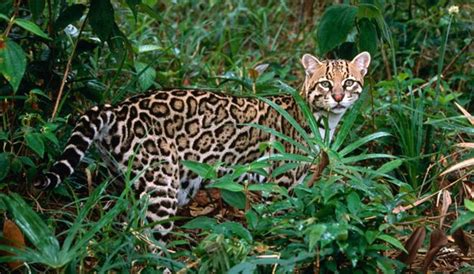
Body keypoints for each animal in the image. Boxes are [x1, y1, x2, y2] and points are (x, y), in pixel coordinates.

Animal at [36, 52, 370, 237]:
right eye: (325, 83)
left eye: (348, 82)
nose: (338, 97)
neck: (326, 122)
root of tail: (117, 108)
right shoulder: (280, 182)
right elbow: (278, 221)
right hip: (161, 185)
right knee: (145, 238)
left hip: (129, 181)